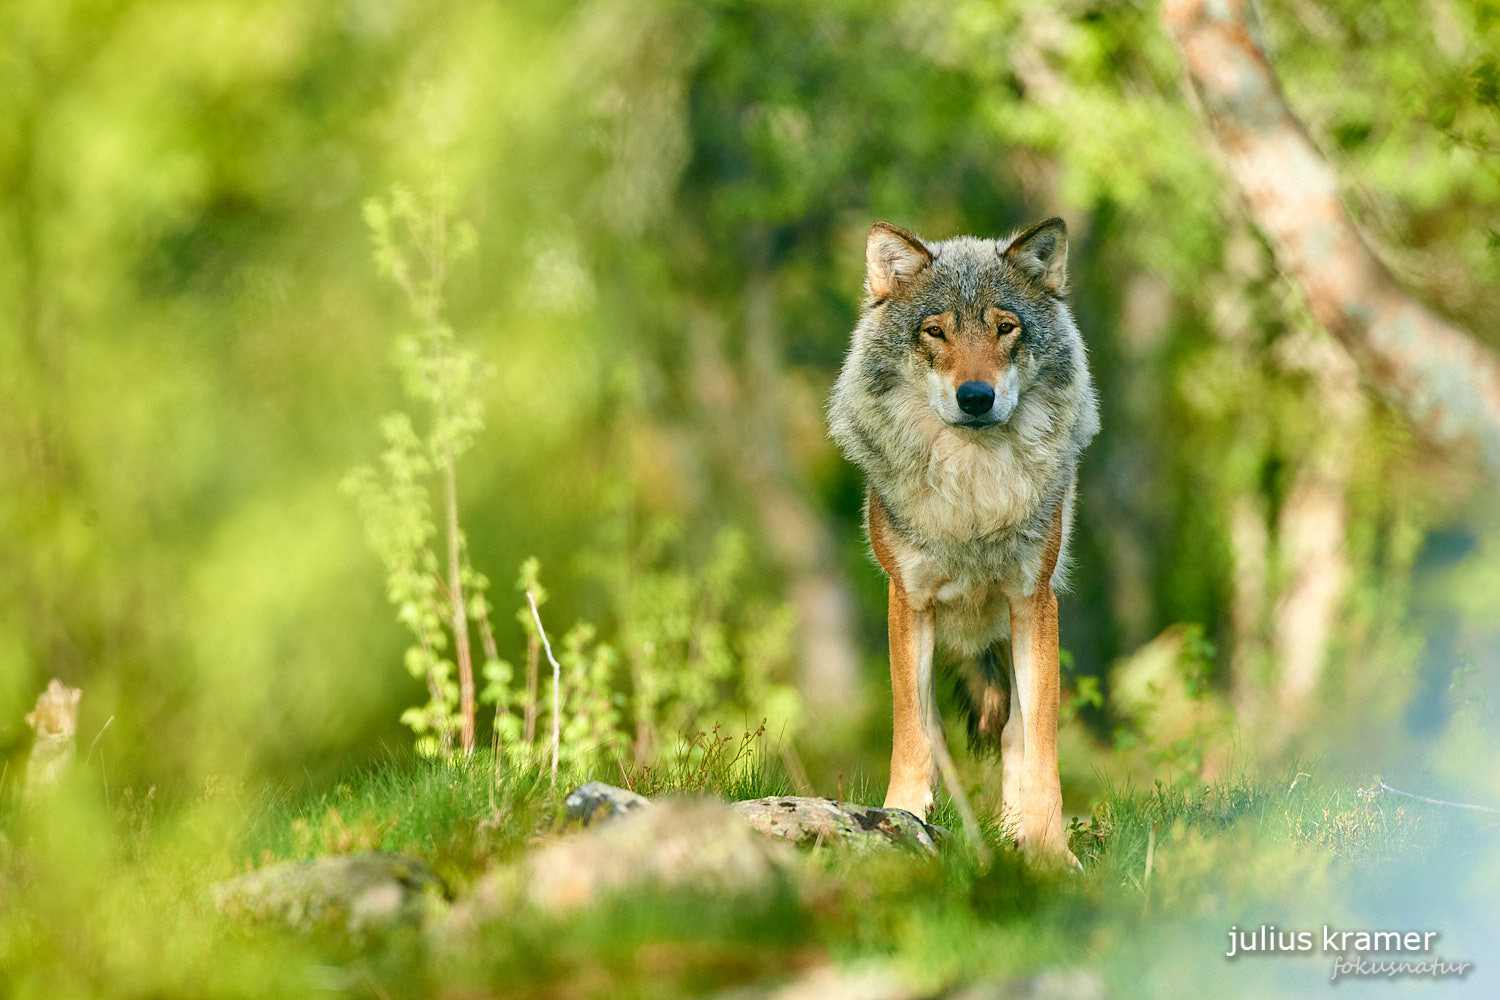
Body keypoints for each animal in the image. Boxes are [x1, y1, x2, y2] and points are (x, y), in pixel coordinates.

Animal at [828, 220, 1098, 869]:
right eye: (936, 331)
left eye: (1005, 328)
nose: (976, 396)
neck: (973, 495)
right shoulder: (909, 602)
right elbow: (913, 732)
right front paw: (901, 818)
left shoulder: (1033, 602)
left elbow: (1040, 748)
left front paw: (1050, 850)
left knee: (1014, 733)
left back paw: (1012, 833)